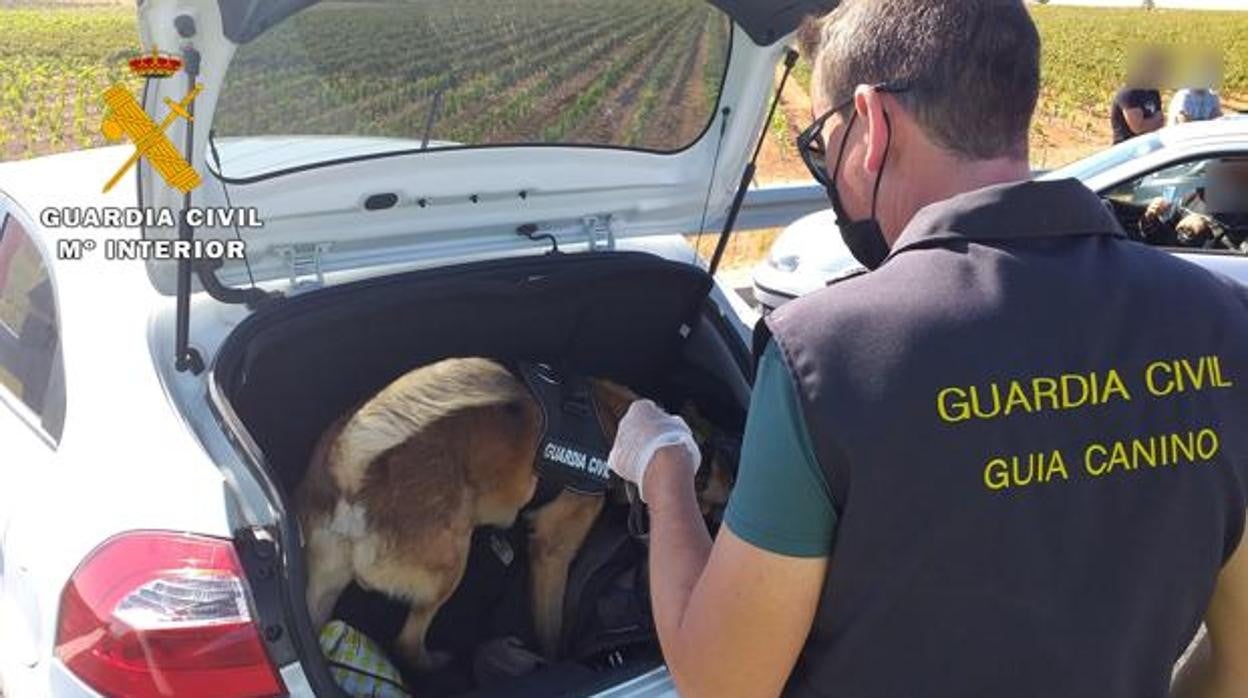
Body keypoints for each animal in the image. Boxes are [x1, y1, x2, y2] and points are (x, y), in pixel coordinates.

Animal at [294, 357, 723, 674]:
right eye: (717, 504)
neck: (613, 419)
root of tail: (351, 470)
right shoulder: (551, 554)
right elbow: (551, 628)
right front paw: (554, 661)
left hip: (325, 588)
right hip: (451, 563)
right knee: (406, 644)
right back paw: (434, 663)